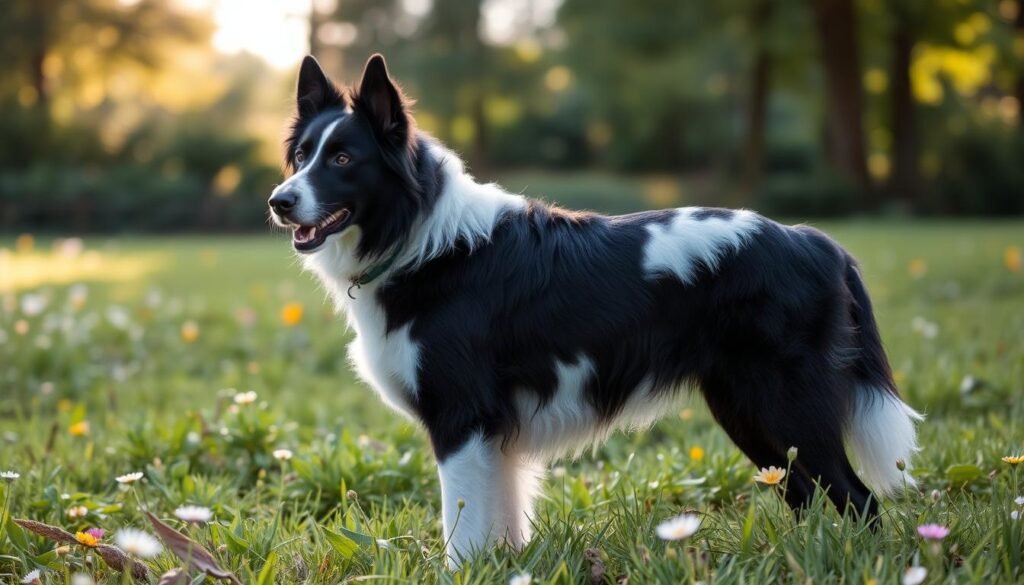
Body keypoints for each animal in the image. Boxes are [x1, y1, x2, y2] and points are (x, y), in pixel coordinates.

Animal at [268, 54, 925, 569]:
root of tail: (815, 240)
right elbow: (500, 520)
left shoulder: (461, 420)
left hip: (785, 406)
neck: (421, 238)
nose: (279, 201)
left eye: (344, 160)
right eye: (300, 156)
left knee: (856, 498)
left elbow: (463, 526)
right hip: (748, 412)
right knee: (809, 496)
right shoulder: (492, 435)